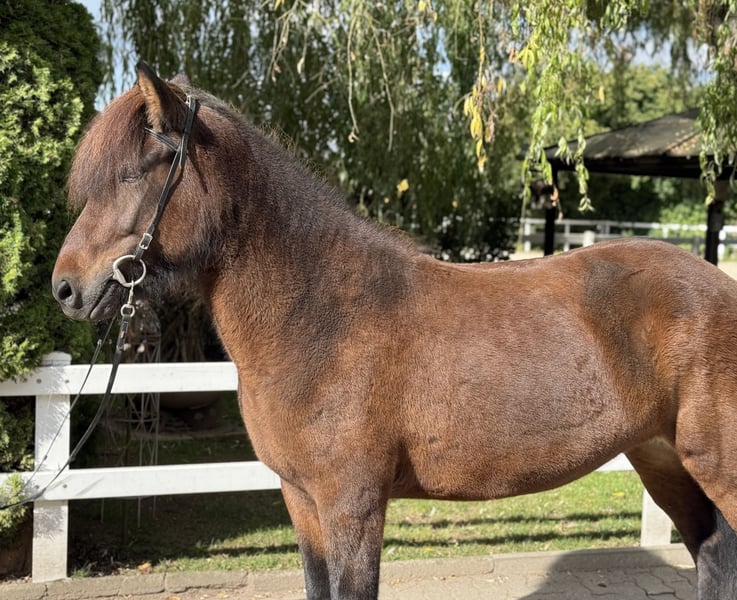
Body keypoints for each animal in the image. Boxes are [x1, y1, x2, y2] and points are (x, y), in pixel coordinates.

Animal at [52, 62, 737, 599]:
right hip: (664, 459)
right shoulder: (302, 502)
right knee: (712, 553)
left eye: (134, 173)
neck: (319, 317)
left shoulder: (352, 507)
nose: (66, 289)